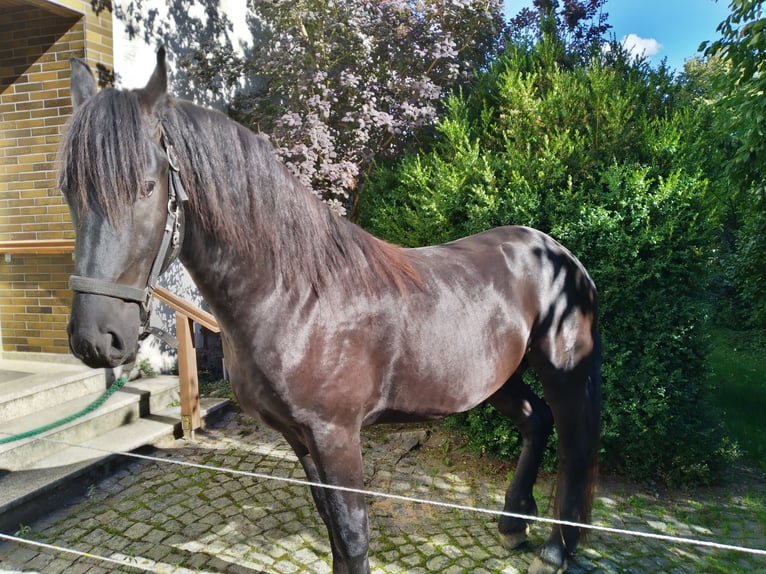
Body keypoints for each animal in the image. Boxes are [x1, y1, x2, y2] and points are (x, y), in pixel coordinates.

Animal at [59, 47, 601, 574]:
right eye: (68, 189)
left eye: (148, 186)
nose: (96, 338)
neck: (296, 296)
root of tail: (560, 255)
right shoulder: (300, 438)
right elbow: (332, 530)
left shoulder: (336, 435)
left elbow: (353, 533)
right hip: (498, 378)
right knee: (536, 422)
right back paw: (513, 524)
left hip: (563, 371)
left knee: (574, 447)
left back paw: (557, 550)